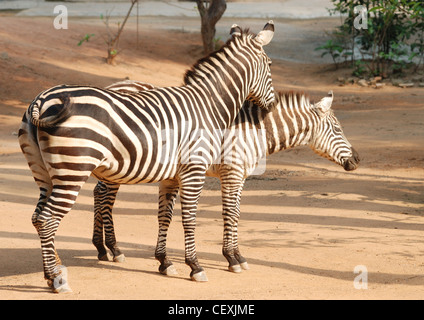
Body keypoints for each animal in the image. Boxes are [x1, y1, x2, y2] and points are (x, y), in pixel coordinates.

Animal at [17, 21, 274, 292]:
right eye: (269, 65)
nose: (270, 107)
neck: (208, 105)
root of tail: (41, 100)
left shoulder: (173, 175)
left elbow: (165, 216)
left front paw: (165, 262)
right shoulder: (194, 170)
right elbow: (190, 218)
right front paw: (195, 266)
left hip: (44, 173)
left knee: (38, 217)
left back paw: (54, 272)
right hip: (72, 170)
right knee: (48, 219)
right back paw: (57, 280)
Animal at [91, 81, 360, 274]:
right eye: (337, 129)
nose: (358, 160)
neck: (254, 129)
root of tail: (115, 85)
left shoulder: (238, 175)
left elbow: (236, 213)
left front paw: (235, 255)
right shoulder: (233, 173)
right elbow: (230, 213)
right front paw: (232, 258)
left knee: (99, 193)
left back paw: (103, 249)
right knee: (105, 196)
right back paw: (113, 249)